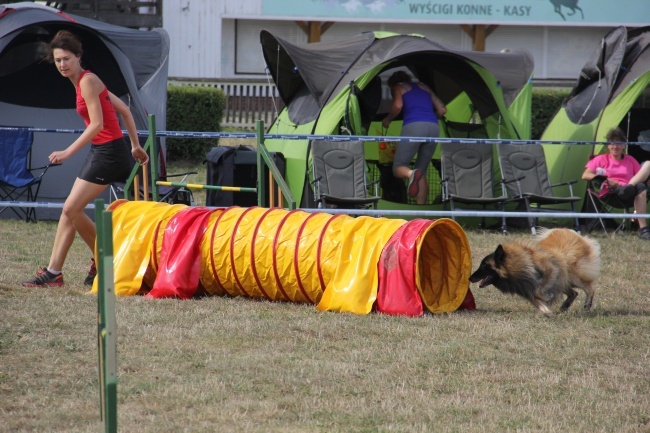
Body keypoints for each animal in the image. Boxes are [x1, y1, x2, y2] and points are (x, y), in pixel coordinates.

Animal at [468, 228, 600, 312]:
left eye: (484, 266)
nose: (469, 278)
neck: (519, 264)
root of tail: (570, 232)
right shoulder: (526, 289)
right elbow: (536, 299)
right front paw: (545, 310)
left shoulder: (551, 270)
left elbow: (539, 292)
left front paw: (547, 299)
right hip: (564, 280)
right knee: (574, 293)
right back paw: (565, 306)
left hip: (572, 275)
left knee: (590, 289)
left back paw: (587, 305)